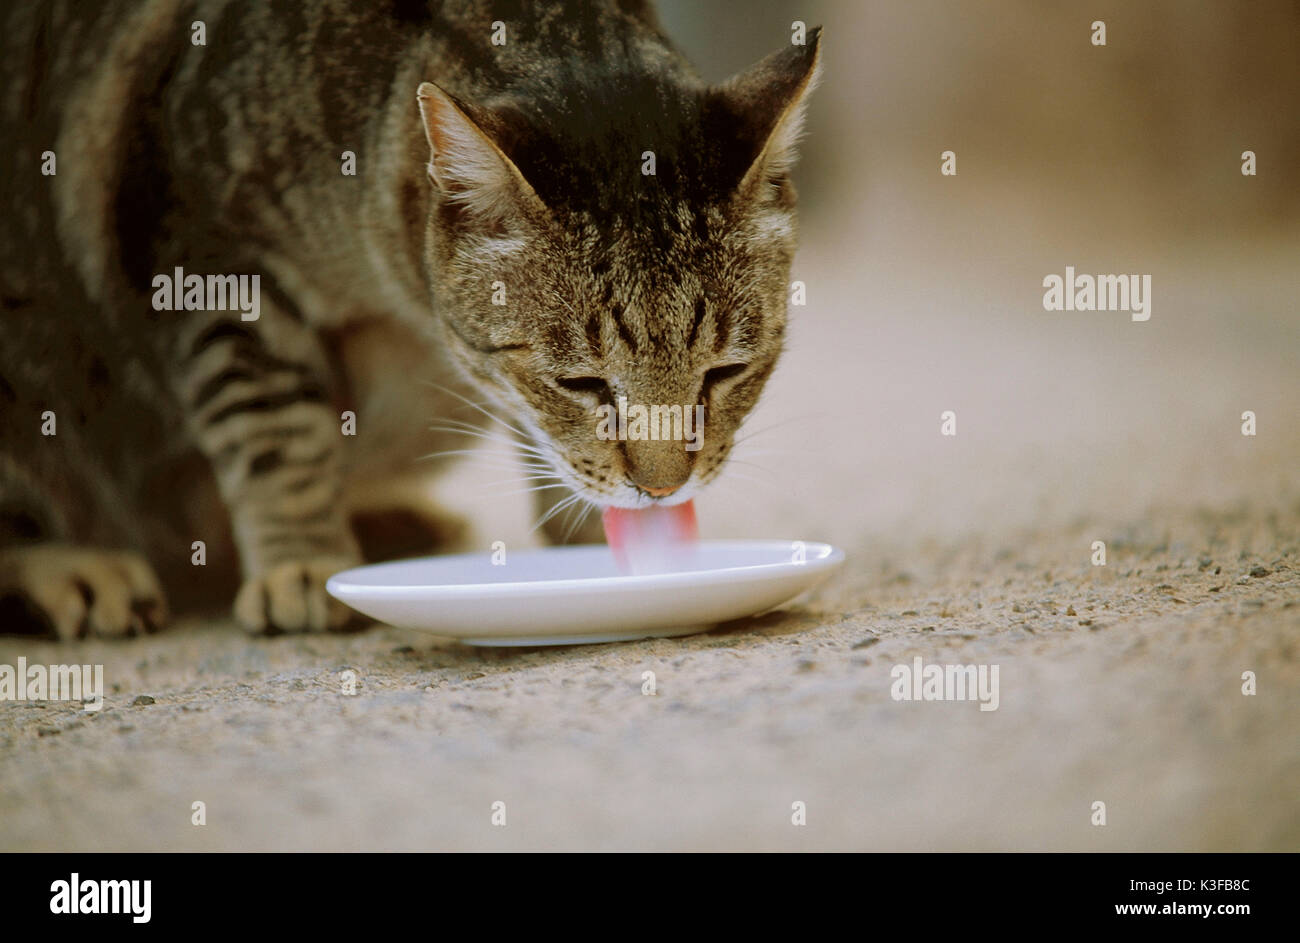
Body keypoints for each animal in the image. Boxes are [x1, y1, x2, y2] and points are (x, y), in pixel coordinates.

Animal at [0, 0, 821, 637]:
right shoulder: (202, 249)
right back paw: (78, 570)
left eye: (726, 372)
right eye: (582, 384)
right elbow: (273, 427)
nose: (662, 491)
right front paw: (304, 562)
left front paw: (592, 537)